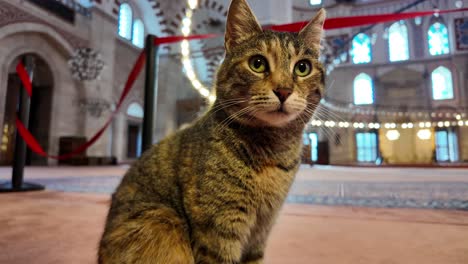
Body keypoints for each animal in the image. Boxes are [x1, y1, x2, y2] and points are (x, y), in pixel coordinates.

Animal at [98, 1, 326, 262]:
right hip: (161, 218)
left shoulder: (260, 231)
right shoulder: (219, 229)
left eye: (303, 67)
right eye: (257, 63)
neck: (273, 148)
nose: (284, 90)